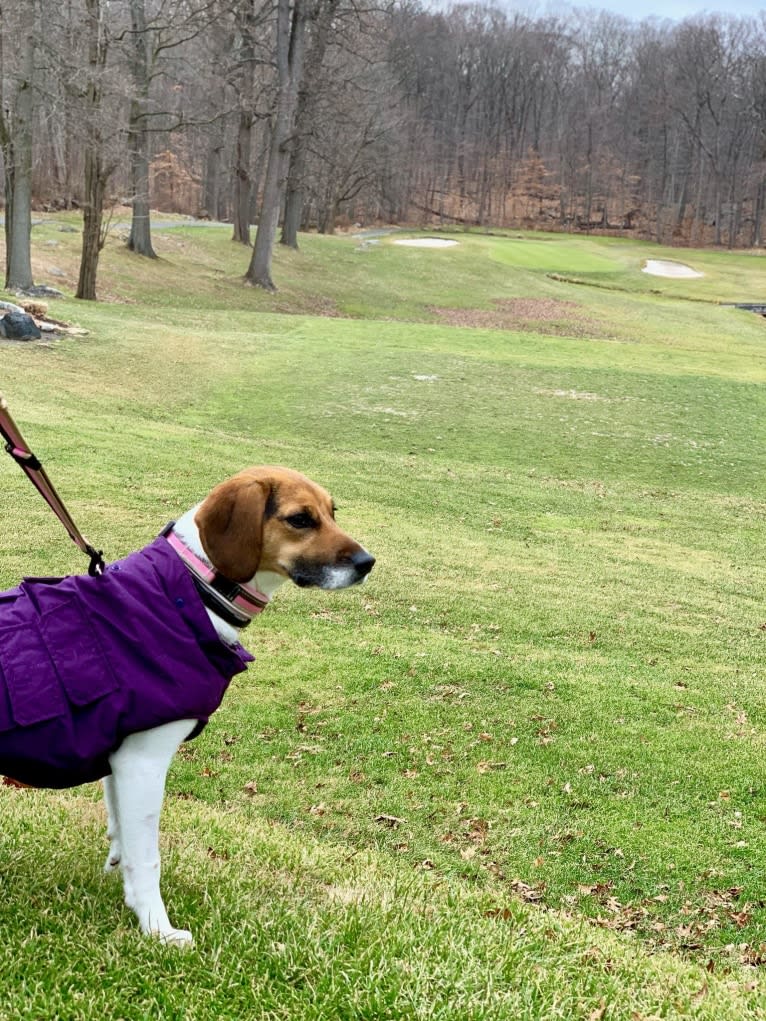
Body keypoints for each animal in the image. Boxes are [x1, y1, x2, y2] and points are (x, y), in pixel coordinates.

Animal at [0, 467, 375, 943]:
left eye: (331, 513)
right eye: (300, 519)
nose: (367, 562)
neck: (196, 588)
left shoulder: (118, 764)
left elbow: (120, 833)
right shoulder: (143, 762)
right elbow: (147, 858)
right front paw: (157, 930)